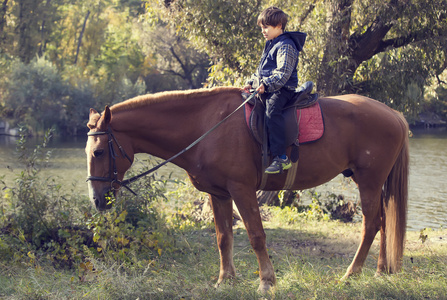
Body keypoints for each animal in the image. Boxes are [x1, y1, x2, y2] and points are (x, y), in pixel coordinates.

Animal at [85, 85, 410, 292]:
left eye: (98, 152)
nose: (97, 201)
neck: (207, 126)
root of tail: (394, 114)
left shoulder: (241, 190)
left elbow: (255, 236)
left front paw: (266, 281)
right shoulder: (219, 194)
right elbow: (223, 237)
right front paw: (225, 280)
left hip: (368, 181)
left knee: (371, 225)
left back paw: (350, 275)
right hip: (373, 183)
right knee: (383, 221)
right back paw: (380, 270)